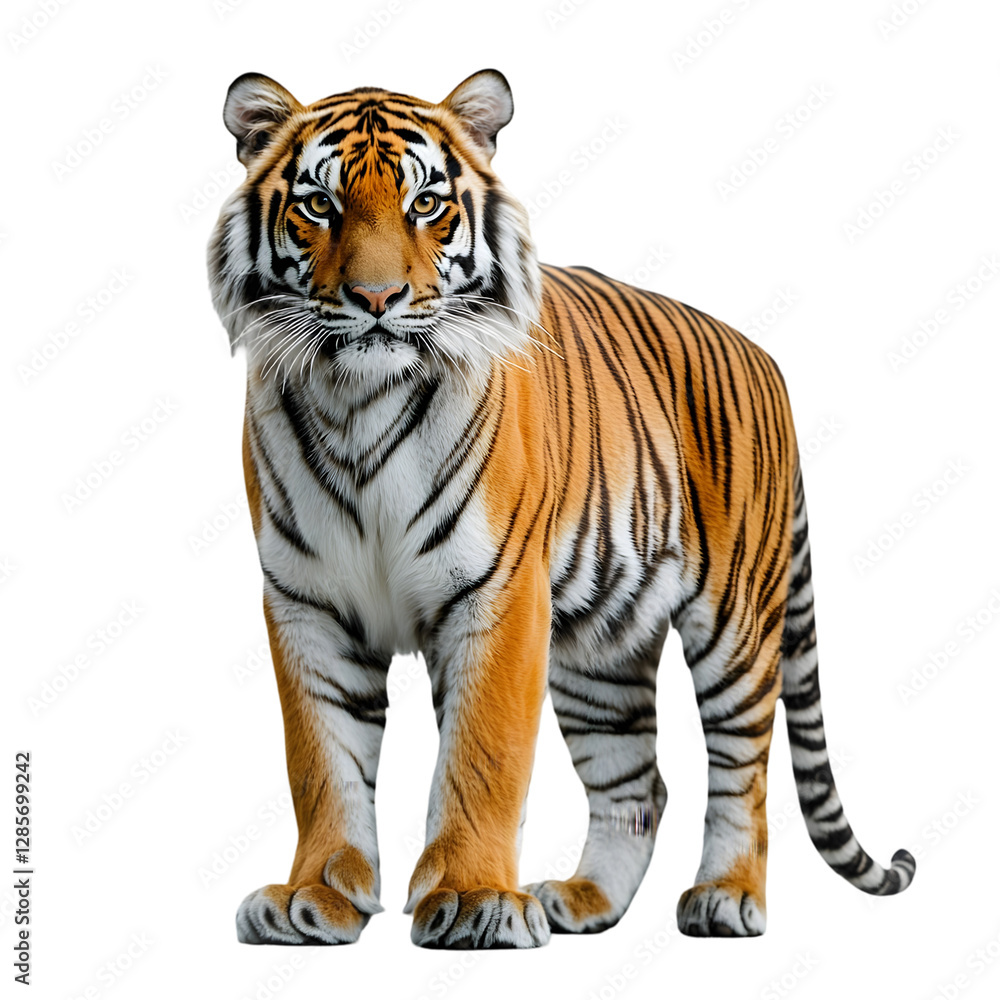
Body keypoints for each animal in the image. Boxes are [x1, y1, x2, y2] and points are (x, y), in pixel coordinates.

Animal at [207, 68, 915, 949]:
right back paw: (584, 899)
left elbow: (482, 755)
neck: (359, 403)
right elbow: (321, 760)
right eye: (319, 205)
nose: (376, 297)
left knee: (742, 768)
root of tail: (764, 358)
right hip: (599, 652)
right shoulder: (306, 602)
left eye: (425, 204)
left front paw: (472, 898)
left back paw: (725, 896)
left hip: (738, 624)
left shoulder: (500, 592)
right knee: (638, 785)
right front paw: (316, 897)